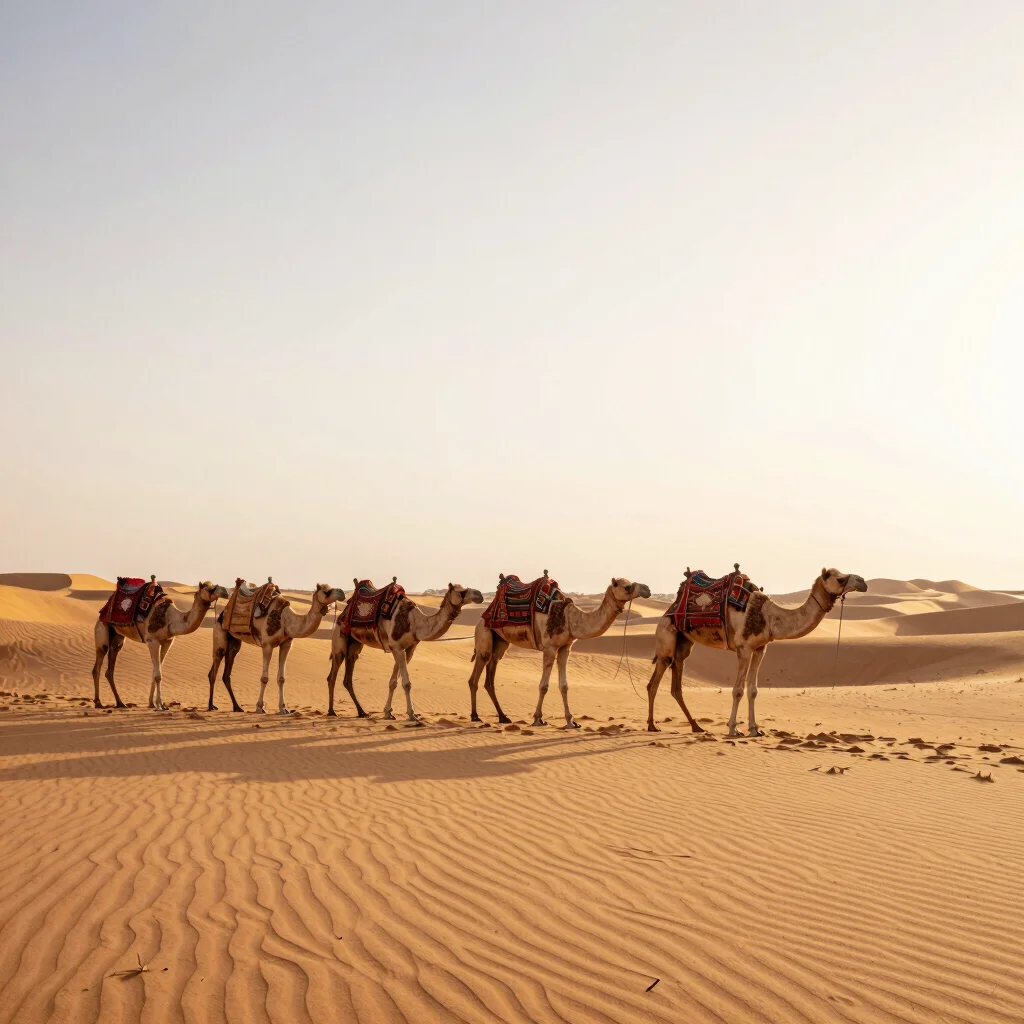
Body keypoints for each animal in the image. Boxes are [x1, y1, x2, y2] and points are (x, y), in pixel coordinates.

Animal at [91, 580, 229, 711]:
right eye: (208, 588)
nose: (226, 592)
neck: (171, 619)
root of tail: (103, 610)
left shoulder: (167, 641)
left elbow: (157, 671)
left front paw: (153, 703)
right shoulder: (152, 640)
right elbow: (158, 675)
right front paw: (160, 706)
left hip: (117, 638)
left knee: (110, 669)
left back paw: (120, 703)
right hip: (102, 629)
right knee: (97, 666)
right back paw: (98, 703)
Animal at [208, 582, 345, 714]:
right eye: (326, 591)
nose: (342, 593)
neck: (286, 620)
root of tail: (222, 614)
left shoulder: (286, 644)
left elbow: (281, 678)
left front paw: (283, 708)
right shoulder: (267, 645)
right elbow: (264, 678)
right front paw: (260, 707)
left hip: (234, 642)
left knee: (226, 674)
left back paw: (237, 707)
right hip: (219, 633)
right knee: (214, 669)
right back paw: (211, 706)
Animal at [327, 582, 484, 721]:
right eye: (462, 591)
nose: (480, 595)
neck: (414, 623)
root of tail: (342, 613)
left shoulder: (407, 649)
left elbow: (394, 681)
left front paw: (388, 712)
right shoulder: (397, 647)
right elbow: (406, 683)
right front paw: (412, 715)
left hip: (354, 645)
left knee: (347, 678)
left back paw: (362, 712)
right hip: (339, 639)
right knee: (332, 676)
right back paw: (332, 711)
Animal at [469, 576, 651, 728]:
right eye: (627, 587)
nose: (647, 589)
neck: (570, 619)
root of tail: (482, 616)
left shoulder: (565, 647)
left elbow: (564, 686)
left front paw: (571, 721)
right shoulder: (549, 647)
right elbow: (543, 686)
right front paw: (538, 719)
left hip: (500, 642)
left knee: (490, 677)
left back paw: (503, 717)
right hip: (484, 634)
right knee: (475, 675)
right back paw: (475, 716)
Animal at [646, 567, 868, 737]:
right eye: (840, 578)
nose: (863, 582)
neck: (769, 617)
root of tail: (669, 609)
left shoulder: (760, 648)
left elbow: (753, 690)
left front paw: (755, 729)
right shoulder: (743, 648)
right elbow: (738, 690)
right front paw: (733, 729)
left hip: (684, 643)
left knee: (676, 685)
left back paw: (696, 726)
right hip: (666, 638)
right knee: (654, 683)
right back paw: (652, 726)